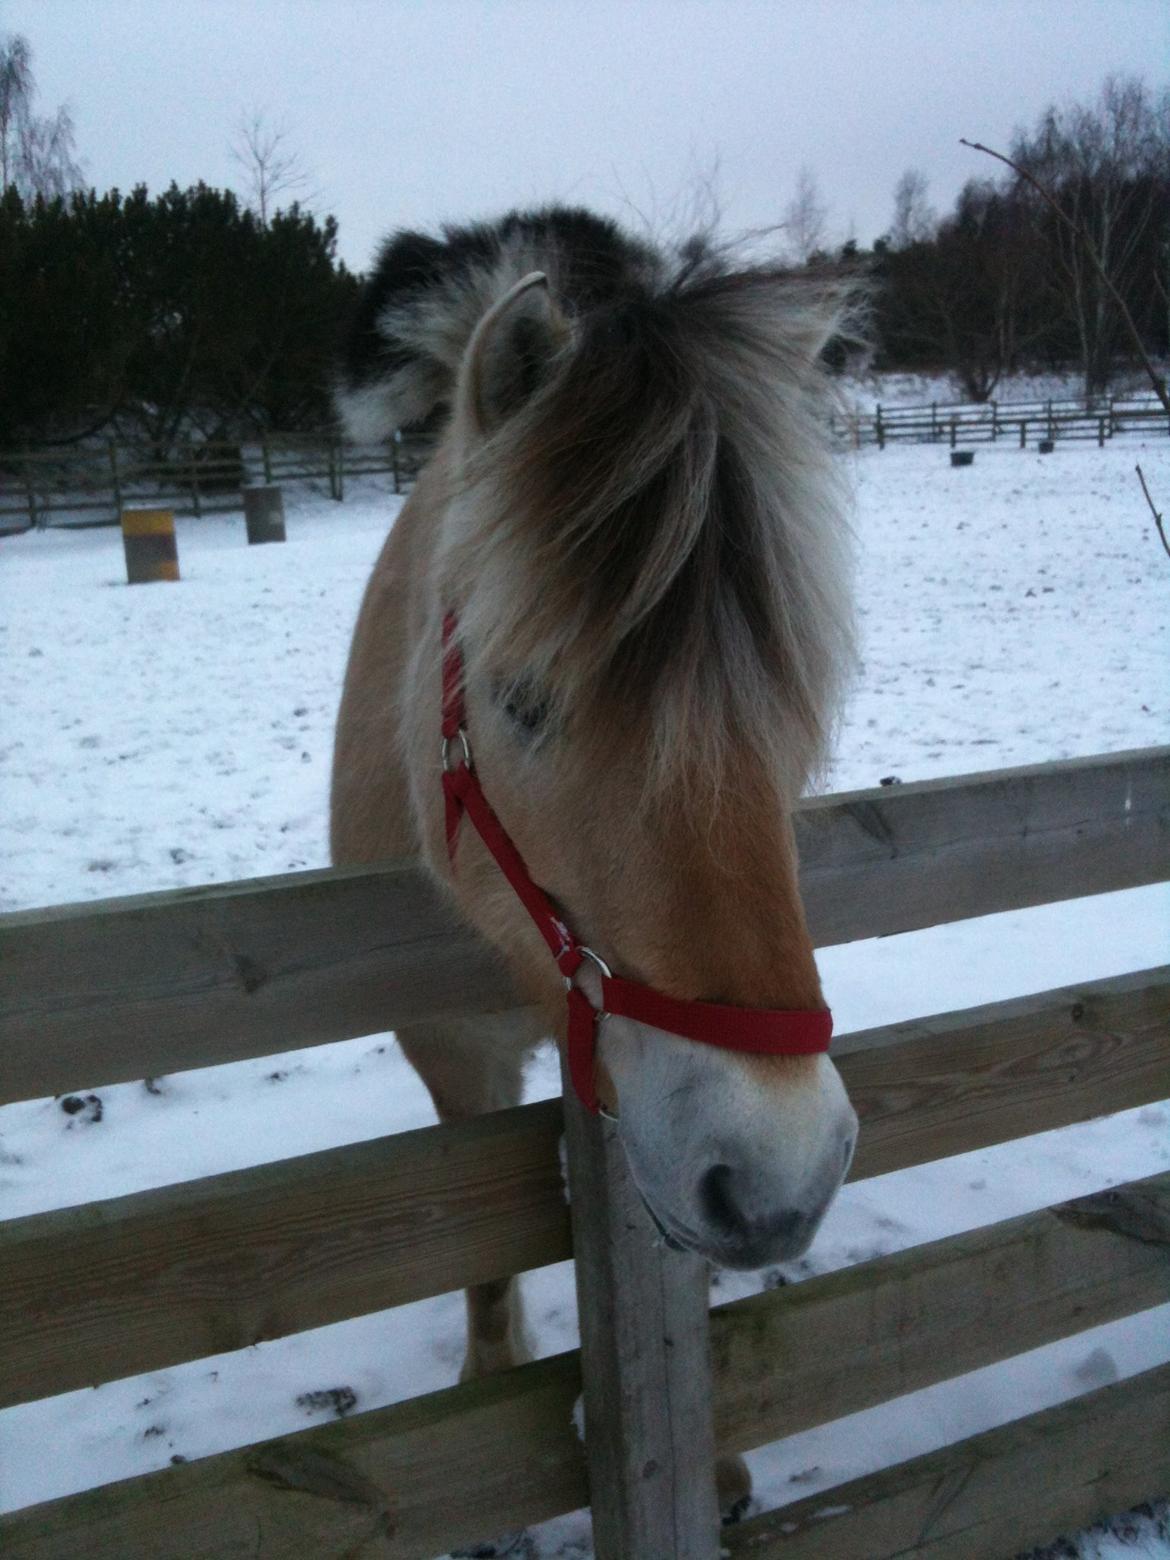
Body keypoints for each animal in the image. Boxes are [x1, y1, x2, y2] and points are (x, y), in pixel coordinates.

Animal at [330, 201, 861, 1516]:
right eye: (522, 701)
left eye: (791, 706)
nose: (780, 1173)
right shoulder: (452, 1056)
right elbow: (480, 1259)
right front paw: (491, 1383)